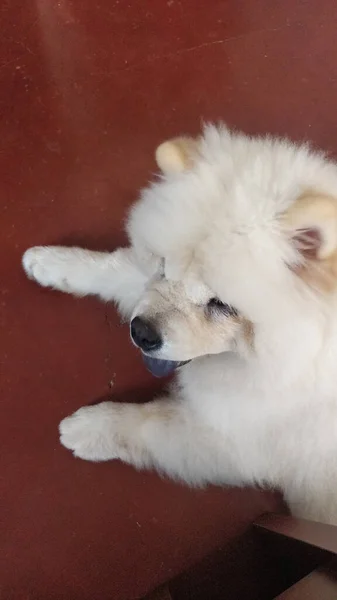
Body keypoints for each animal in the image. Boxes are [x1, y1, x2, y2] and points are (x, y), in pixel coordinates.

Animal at [21, 126, 337, 524]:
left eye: (222, 305)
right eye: (163, 266)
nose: (141, 333)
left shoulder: (234, 439)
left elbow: (149, 423)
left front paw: (88, 427)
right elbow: (114, 269)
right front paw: (50, 262)